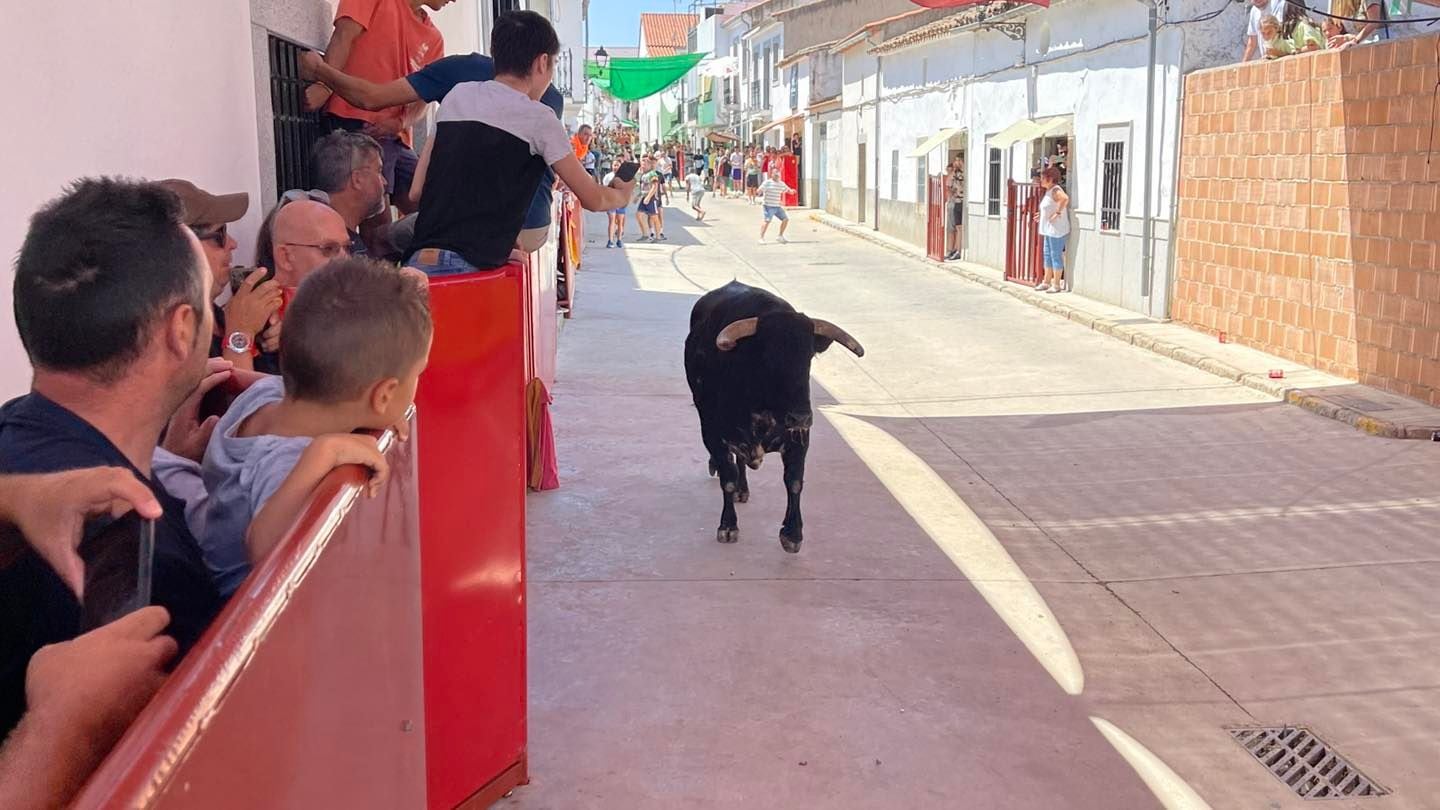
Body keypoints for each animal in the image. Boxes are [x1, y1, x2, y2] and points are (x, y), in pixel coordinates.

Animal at [685, 281, 864, 550]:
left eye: (808, 358)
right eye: (768, 358)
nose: (800, 416)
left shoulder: (800, 438)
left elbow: (794, 480)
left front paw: (792, 533)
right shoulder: (713, 433)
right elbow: (727, 478)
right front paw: (728, 526)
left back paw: (743, 489)